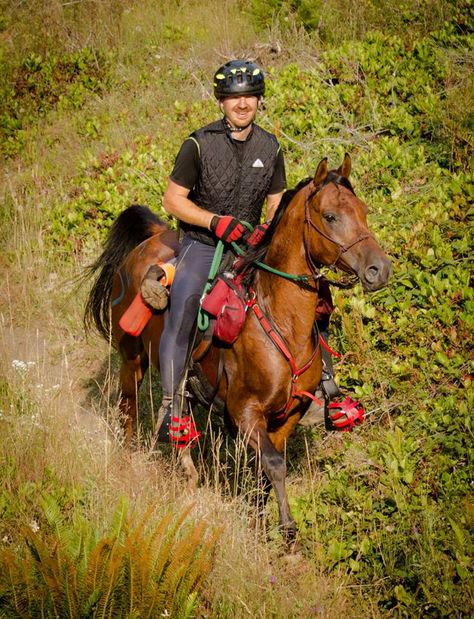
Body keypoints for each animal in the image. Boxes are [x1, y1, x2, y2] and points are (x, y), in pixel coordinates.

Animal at [85, 156, 392, 544]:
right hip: (132, 359)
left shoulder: (288, 415)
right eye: (331, 216)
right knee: (129, 412)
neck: (281, 319)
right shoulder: (246, 412)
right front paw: (288, 530)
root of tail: (152, 238)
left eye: (362, 211)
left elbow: (266, 470)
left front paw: (261, 523)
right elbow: (274, 464)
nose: (379, 269)